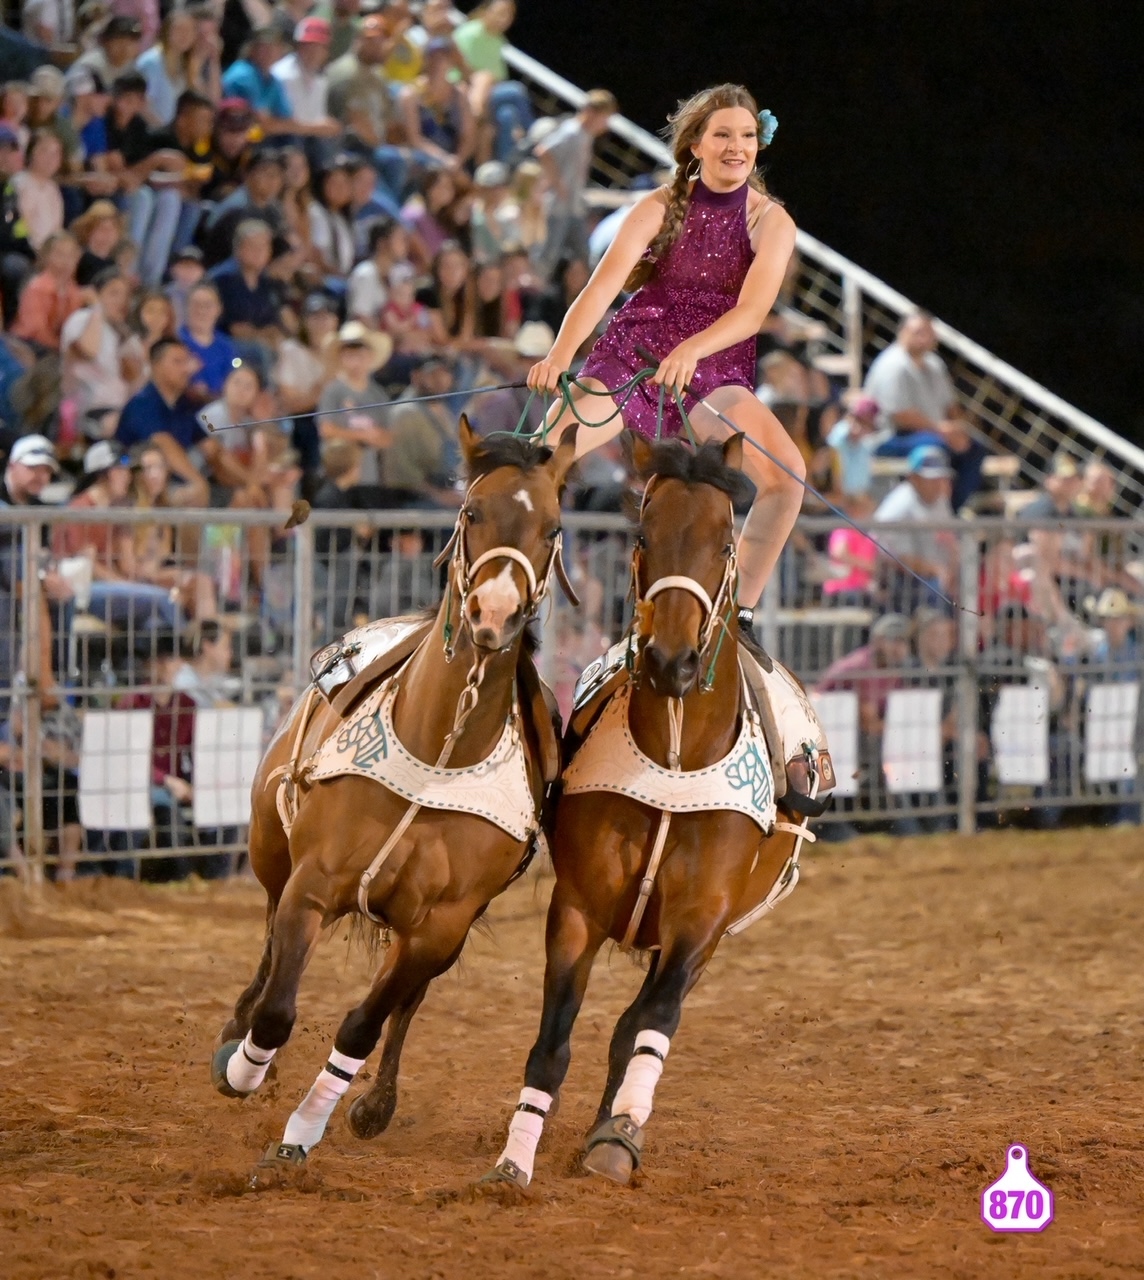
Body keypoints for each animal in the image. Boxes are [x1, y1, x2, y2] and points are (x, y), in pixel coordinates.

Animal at [209, 422, 578, 1172]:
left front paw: (306, 1130)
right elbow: (279, 1007)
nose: (494, 614)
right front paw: (244, 1067)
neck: (439, 752)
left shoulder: (440, 926)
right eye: (471, 511)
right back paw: (237, 1036)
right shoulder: (313, 883)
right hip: (270, 849)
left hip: (433, 935)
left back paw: (376, 1102)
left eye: (553, 529)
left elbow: (365, 1024)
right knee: (266, 946)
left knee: (404, 1004)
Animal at [481, 435, 824, 1182]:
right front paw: (515, 1156)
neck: (674, 755)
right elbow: (554, 1039)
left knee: (640, 1022)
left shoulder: (701, 921)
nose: (672, 660)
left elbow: (654, 1021)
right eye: (643, 536)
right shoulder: (577, 908)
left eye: (726, 543)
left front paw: (620, 1134)